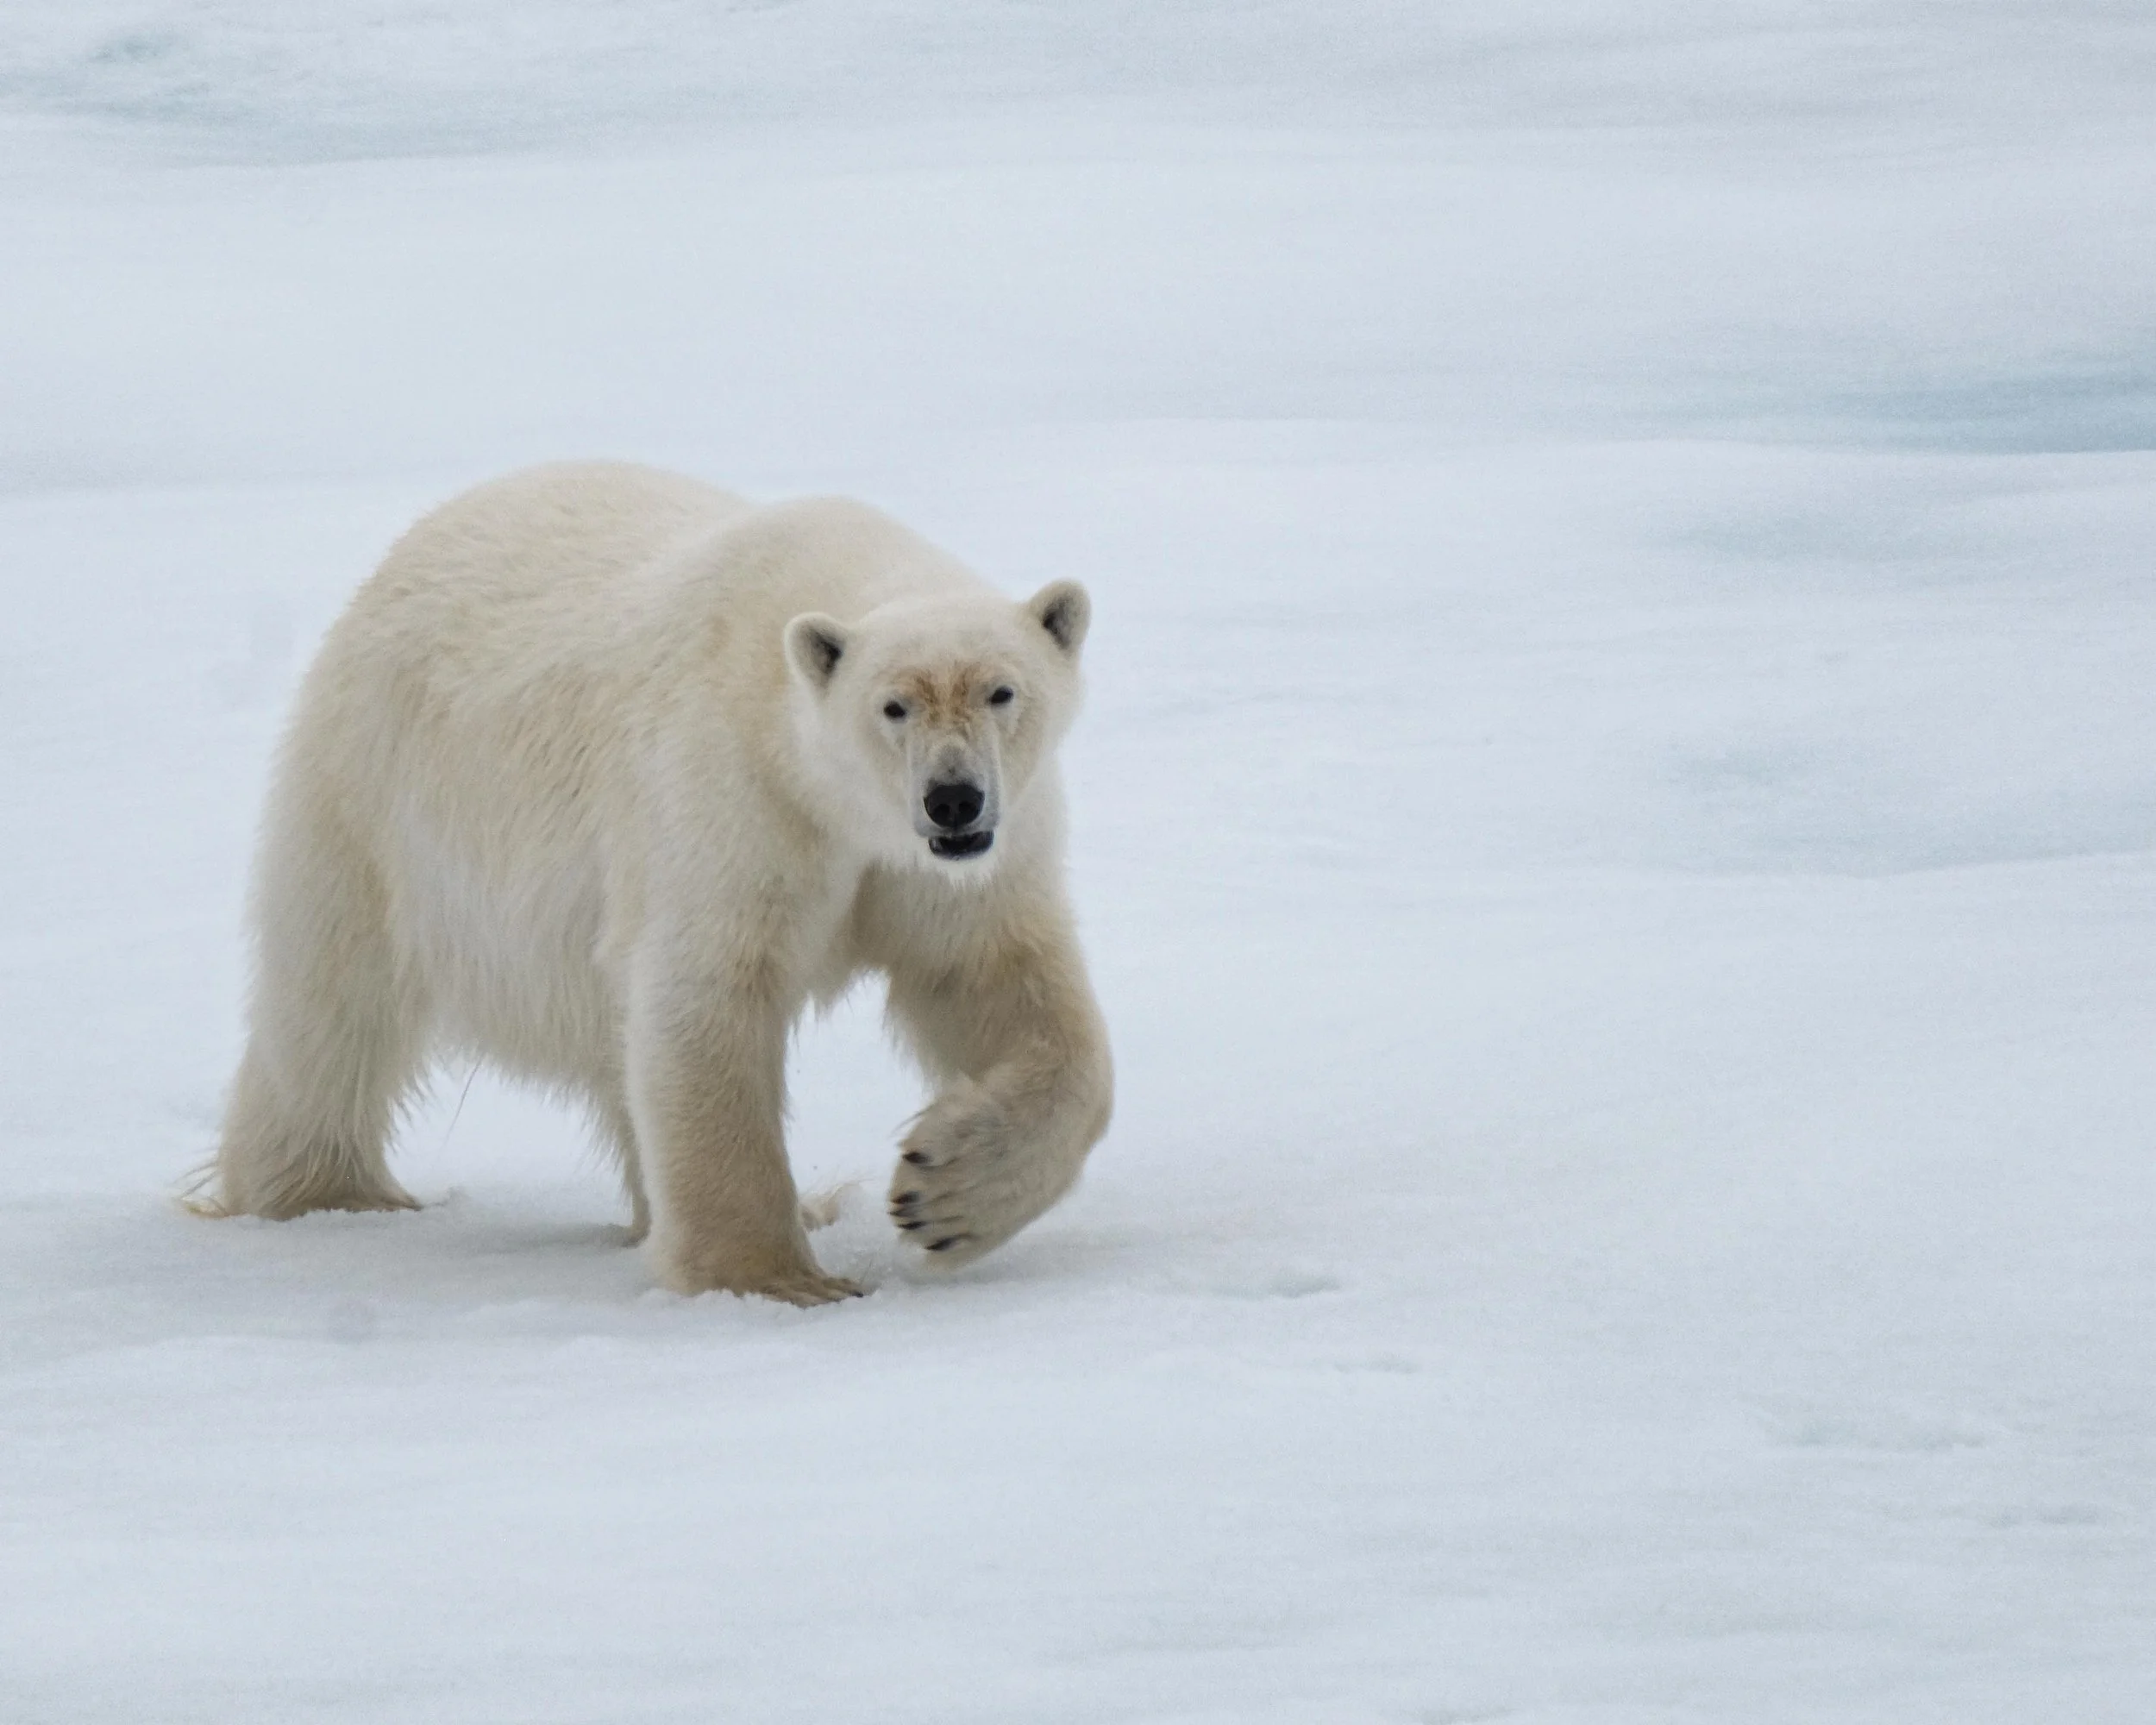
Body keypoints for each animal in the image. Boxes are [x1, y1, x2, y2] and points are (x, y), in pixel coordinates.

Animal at [207, 461, 1113, 1305]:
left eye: (1002, 691)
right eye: (893, 707)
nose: (953, 799)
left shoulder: (957, 868)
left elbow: (1001, 987)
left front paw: (944, 1195)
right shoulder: (728, 795)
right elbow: (707, 996)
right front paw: (777, 1279)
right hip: (379, 798)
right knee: (335, 1001)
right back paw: (326, 1192)